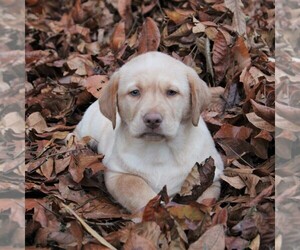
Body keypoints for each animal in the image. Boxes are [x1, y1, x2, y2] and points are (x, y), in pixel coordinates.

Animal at [74, 51, 224, 212]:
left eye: (172, 92)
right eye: (134, 92)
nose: (152, 120)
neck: (159, 150)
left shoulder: (214, 177)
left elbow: (204, 200)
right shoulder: (117, 173)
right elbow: (136, 188)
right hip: (90, 124)